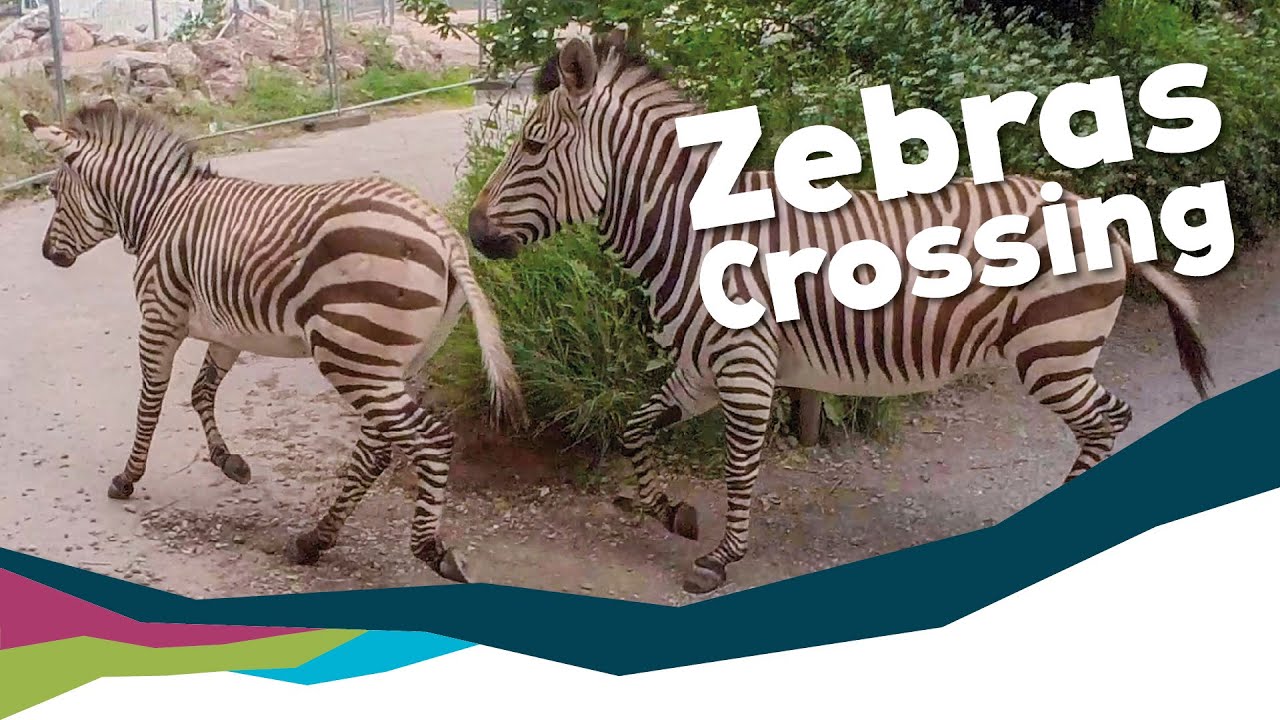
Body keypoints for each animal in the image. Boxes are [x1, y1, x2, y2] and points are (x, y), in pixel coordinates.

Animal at [22, 100, 524, 583]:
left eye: (54, 193)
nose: (47, 254)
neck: (161, 210)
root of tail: (442, 233)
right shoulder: (226, 331)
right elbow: (201, 391)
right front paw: (229, 462)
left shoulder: (159, 318)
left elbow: (151, 402)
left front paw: (128, 478)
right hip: (390, 362)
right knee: (377, 448)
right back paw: (314, 540)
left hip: (351, 355)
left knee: (430, 438)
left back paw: (429, 549)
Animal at [467, 32, 1213, 594]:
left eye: (532, 146)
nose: (472, 234)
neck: (695, 235)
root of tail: (1103, 215)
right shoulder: (701, 369)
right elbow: (635, 428)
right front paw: (671, 512)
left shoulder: (745, 368)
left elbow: (739, 466)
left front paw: (719, 559)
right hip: (1059, 353)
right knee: (1109, 419)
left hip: (1050, 351)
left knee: (1105, 421)